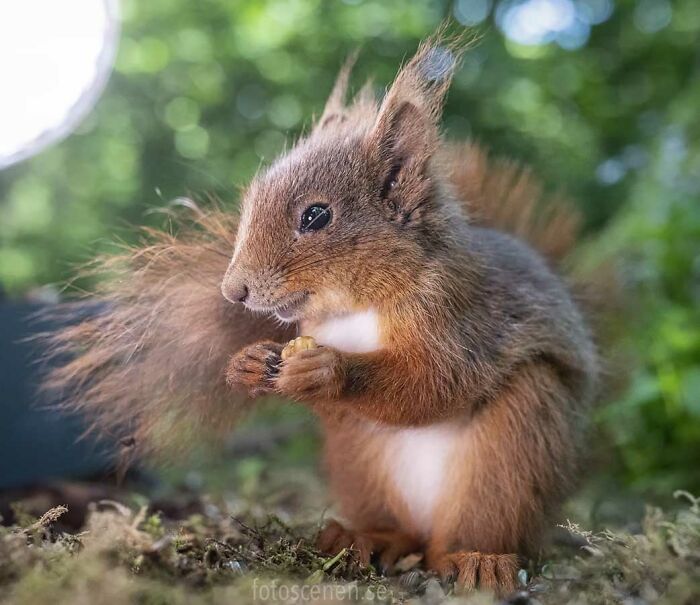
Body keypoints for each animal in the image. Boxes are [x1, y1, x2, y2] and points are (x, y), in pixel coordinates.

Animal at [45, 35, 599, 596]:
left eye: (316, 216)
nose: (233, 290)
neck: (357, 303)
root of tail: (429, 534)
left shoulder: (460, 316)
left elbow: (436, 381)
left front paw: (328, 370)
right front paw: (247, 362)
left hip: (519, 439)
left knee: (477, 524)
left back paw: (479, 559)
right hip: (359, 461)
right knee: (395, 523)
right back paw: (367, 538)